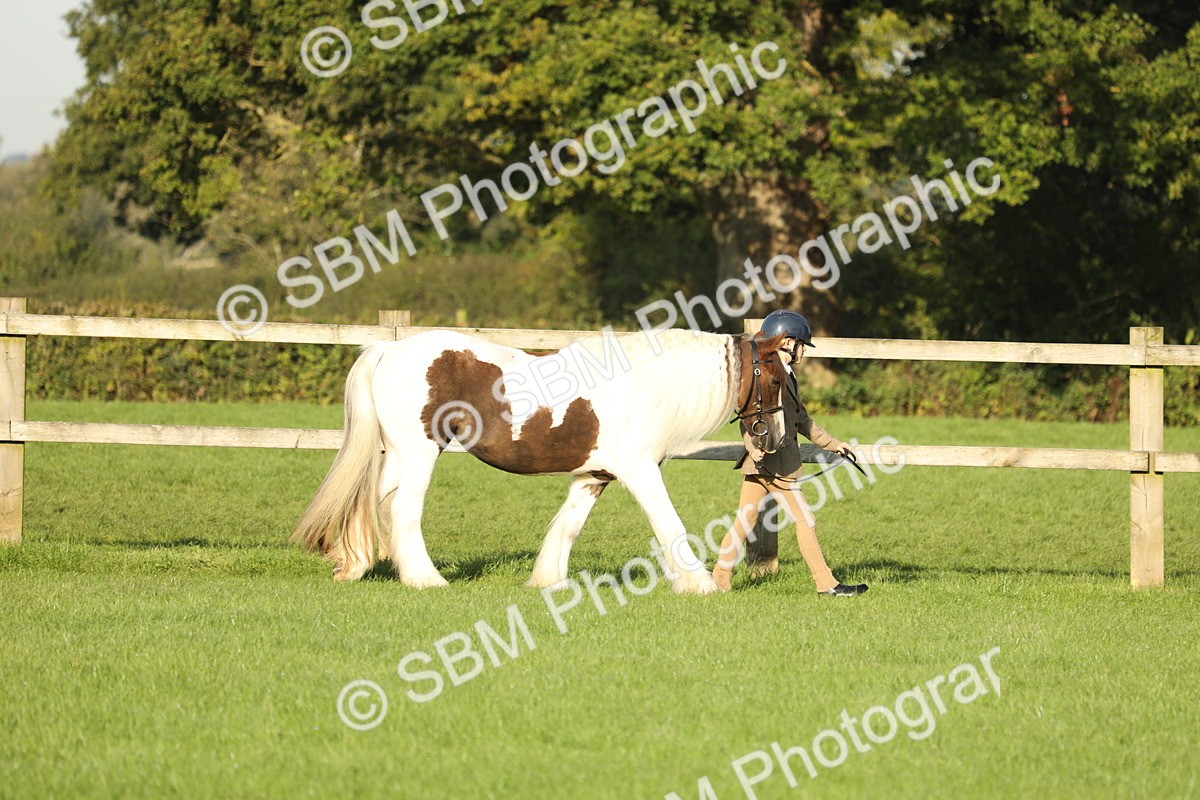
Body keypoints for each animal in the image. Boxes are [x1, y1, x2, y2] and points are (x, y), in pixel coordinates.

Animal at [290, 327, 791, 594]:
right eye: (777, 379)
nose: (773, 439)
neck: (648, 385)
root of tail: (389, 350)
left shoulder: (594, 475)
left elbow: (568, 526)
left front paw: (549, 580)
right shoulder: (640, 470)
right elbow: (668, 523)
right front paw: (700, 584)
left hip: (396, 456)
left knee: (367, 502)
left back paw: (353, 564)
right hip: (418, 454)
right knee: (403, 510)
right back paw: (425, 579)